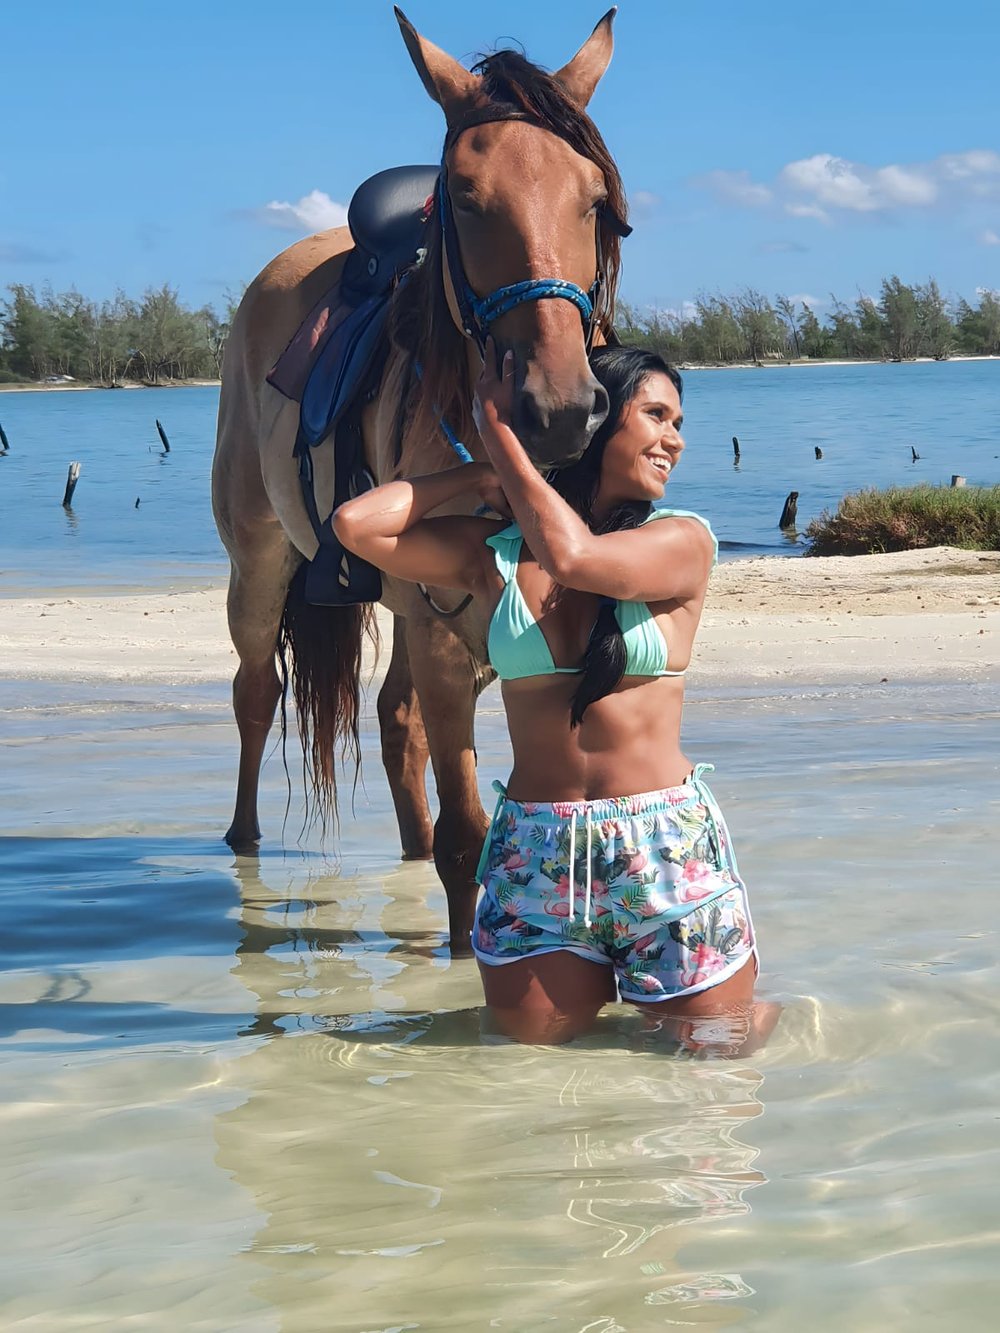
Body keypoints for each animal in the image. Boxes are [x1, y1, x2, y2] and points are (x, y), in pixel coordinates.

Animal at [213, 7, 626, 949]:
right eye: (465, 199)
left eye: (595, 199)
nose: (557, 409)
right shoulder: (445, 641)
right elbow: (470, 836)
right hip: (259, 568)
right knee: (256, 693)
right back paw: (244, 848)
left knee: (393, 721)